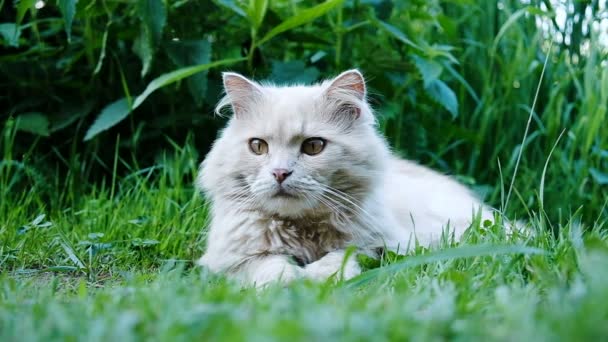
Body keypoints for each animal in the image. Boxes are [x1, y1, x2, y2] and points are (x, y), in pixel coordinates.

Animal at [196, 69, 494, 286]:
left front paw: (319, 279)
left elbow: (340, 257)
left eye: (313, 146)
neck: (303, 230)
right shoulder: (230, 258)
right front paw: (287, 282)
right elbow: (268, 266)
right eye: (258, 147)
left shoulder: (379, 245)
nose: (280, 173)